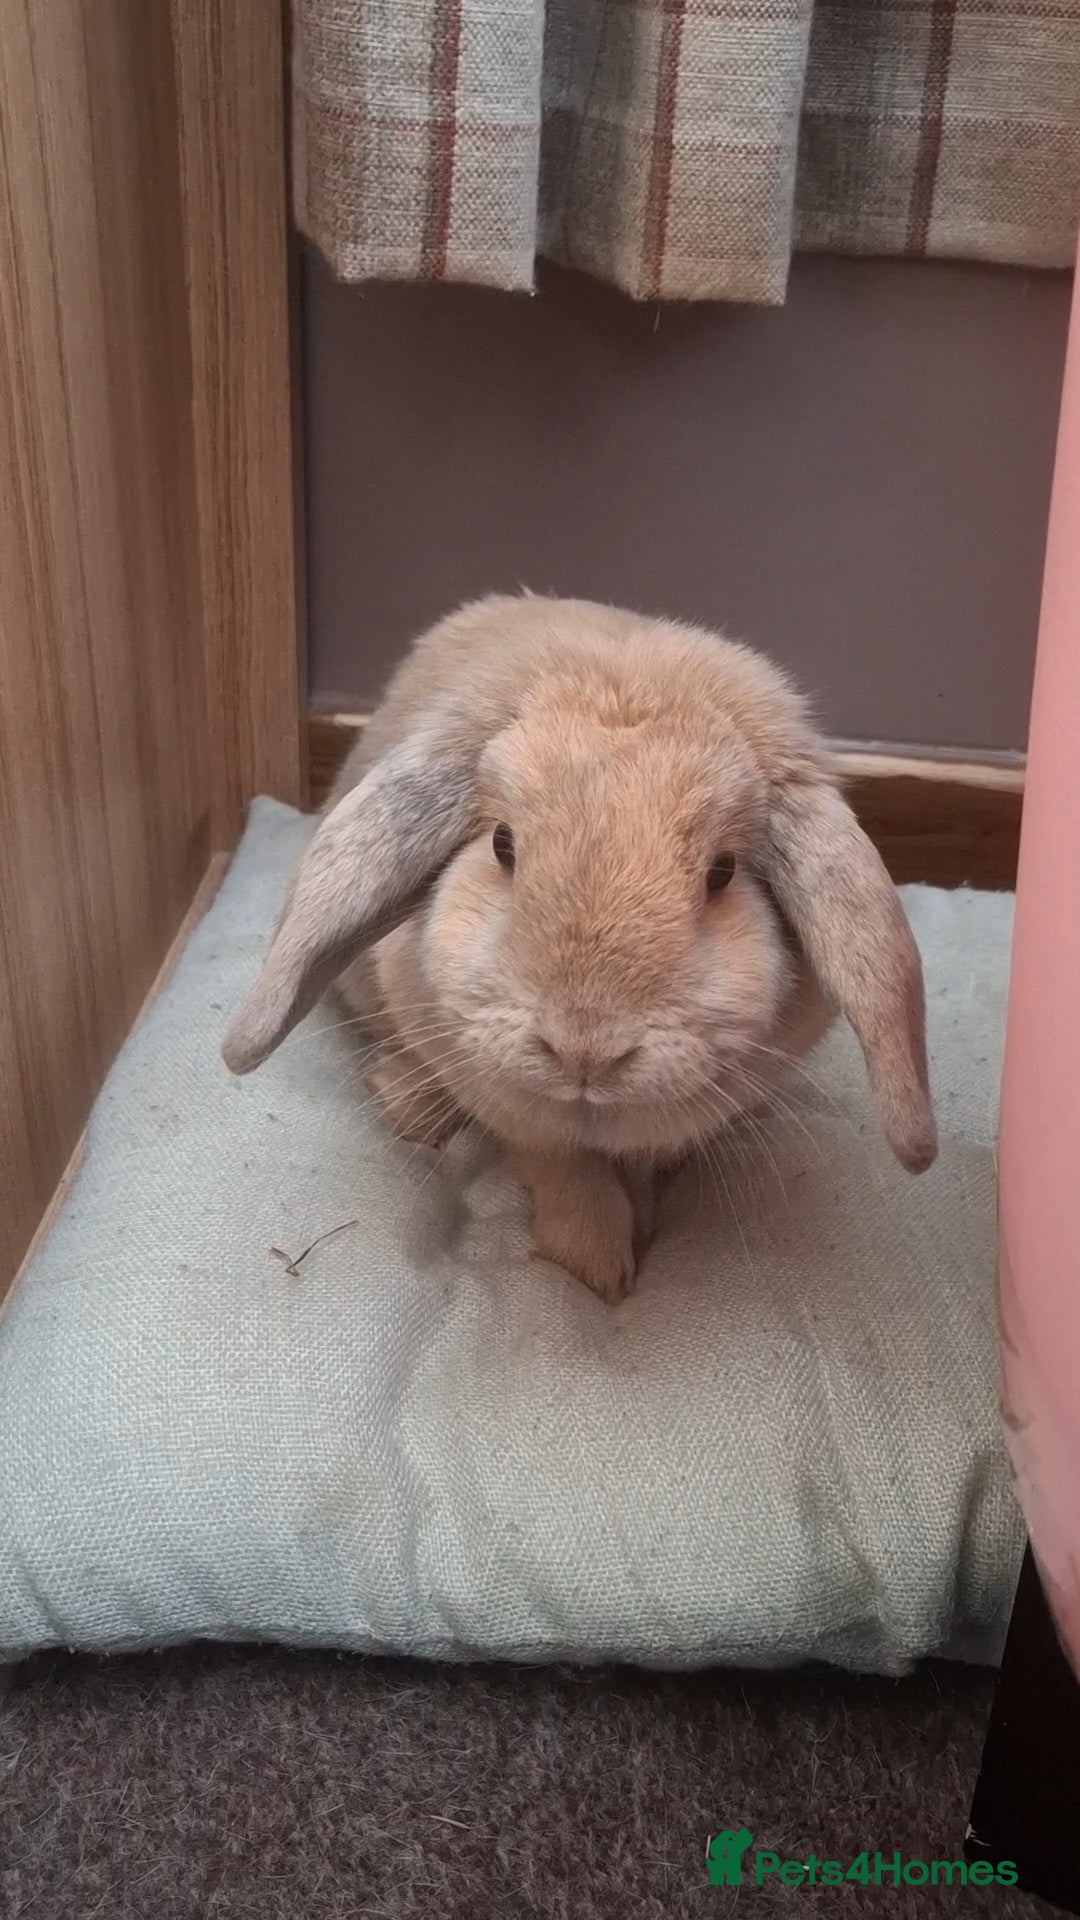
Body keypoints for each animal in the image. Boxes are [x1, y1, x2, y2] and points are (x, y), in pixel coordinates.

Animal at [223, 594, 935, 1302]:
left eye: (723, 872)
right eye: (502, 844)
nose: (583, 1051)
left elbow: (637, 1165)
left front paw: (639, 1226)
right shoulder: (514, 1110)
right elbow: (563, 1172)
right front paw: (597, 1270)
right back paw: (413, 1109)